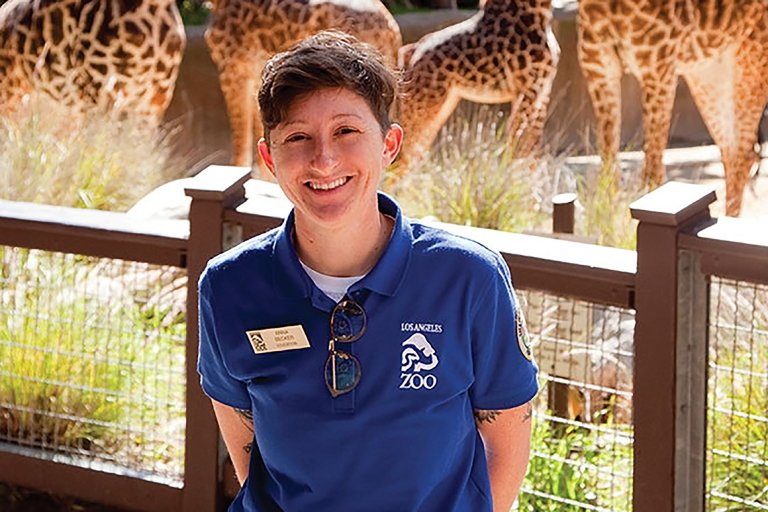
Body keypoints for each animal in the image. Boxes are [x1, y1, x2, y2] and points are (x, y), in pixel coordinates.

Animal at [392, 0, 560, 174]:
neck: (540, 10)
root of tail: (411, 51)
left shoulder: (543, 89)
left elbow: (532, 147)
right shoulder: (529, 89)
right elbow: (521, 144)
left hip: (441, 103)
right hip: (424, 103)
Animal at [580, 0, 768, 216]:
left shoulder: (658, 68)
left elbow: (653, 170)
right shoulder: (598, 66)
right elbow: (608, 166)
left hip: (752, 59)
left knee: (744, 152)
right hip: (709, 71)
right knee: (734, 151)